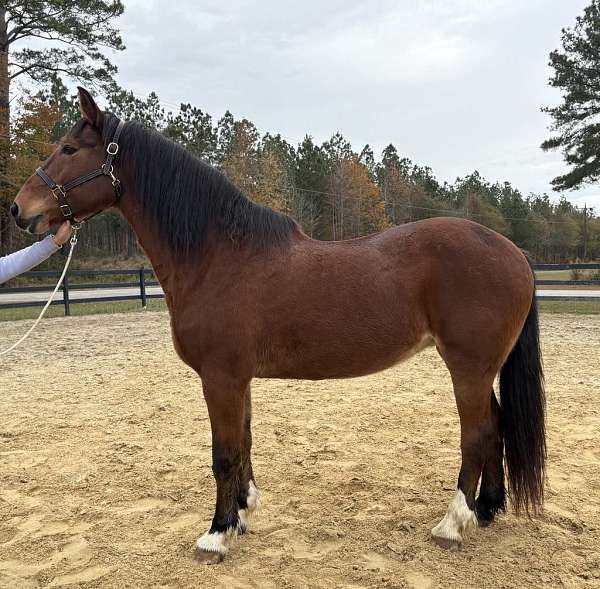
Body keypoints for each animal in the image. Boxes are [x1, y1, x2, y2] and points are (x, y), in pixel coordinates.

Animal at [11, 87, 548, 560]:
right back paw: (486, 511)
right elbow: (244, 443)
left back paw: (452, 524)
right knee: (496, 426)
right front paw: (243, 514)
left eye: (69, 149)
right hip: (480, 369)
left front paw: (216, 535)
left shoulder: (220, 377)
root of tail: (515, 252)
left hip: (468, 368)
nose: (19, 209)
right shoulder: (237, 378)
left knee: (477, 435)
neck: (218, 256)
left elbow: (224, 453)